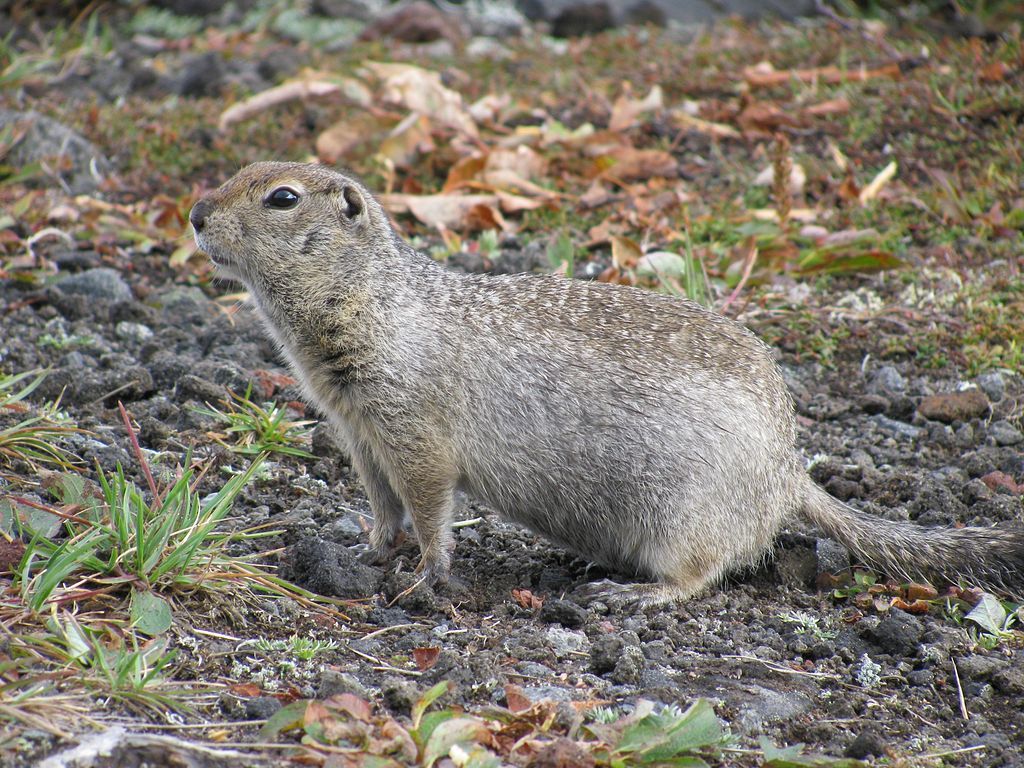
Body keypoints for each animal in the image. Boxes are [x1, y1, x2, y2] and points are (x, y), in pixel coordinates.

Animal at [190, 163, 1015, 606]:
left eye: (282, 197)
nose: (195, 212)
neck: (372, 300)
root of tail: (789, 475)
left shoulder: (415, 430)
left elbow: (428, 507)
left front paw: (426, 576)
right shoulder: (361, 435)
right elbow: (384, 507)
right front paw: (363, 551)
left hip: (687, 514)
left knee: (705, 571)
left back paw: (635, 593)